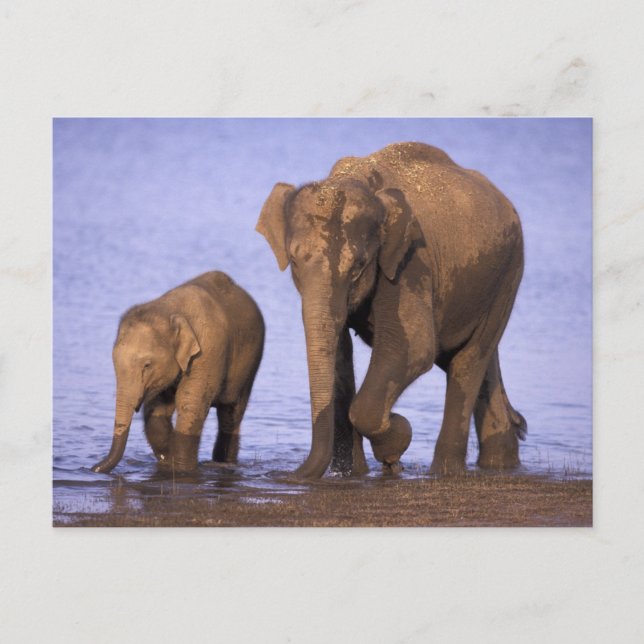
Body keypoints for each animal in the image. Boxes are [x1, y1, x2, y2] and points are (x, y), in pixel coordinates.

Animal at [91, 271, 265, 474]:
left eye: (147, 365)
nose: (93, 468)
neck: (169, 309)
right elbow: (158, 408)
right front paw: (168, 458)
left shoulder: (208, 352)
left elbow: (190, 403)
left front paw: (181, 469)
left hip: (250, 365)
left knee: (231, 415)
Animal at [256, 141, 526, 478]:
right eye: (293, 261)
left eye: (359, 266)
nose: (284, 476)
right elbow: (340, 356)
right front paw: (354, 473)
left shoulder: (410, 261)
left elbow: (415, 348)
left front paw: (395, 442)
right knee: (479, 359)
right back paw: (500, 463)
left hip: (510, 272)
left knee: (468, 360)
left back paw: (444, 472)